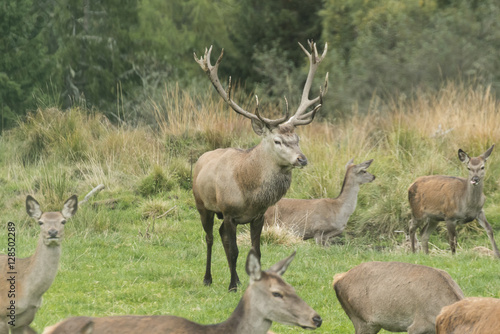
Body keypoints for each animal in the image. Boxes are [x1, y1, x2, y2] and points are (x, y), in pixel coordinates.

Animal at [192, 39, 328, 290]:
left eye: (297, 138)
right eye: (277, 140)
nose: (301, 159)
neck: (249, 193)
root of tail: (201, 159)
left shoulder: (259, 216)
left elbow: (256, 251)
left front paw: (251, 282)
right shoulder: (229, 211)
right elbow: (234, 250)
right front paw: (233, 285)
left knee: (220, 235)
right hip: (203, 205)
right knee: (210, 237)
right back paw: (208, 278)